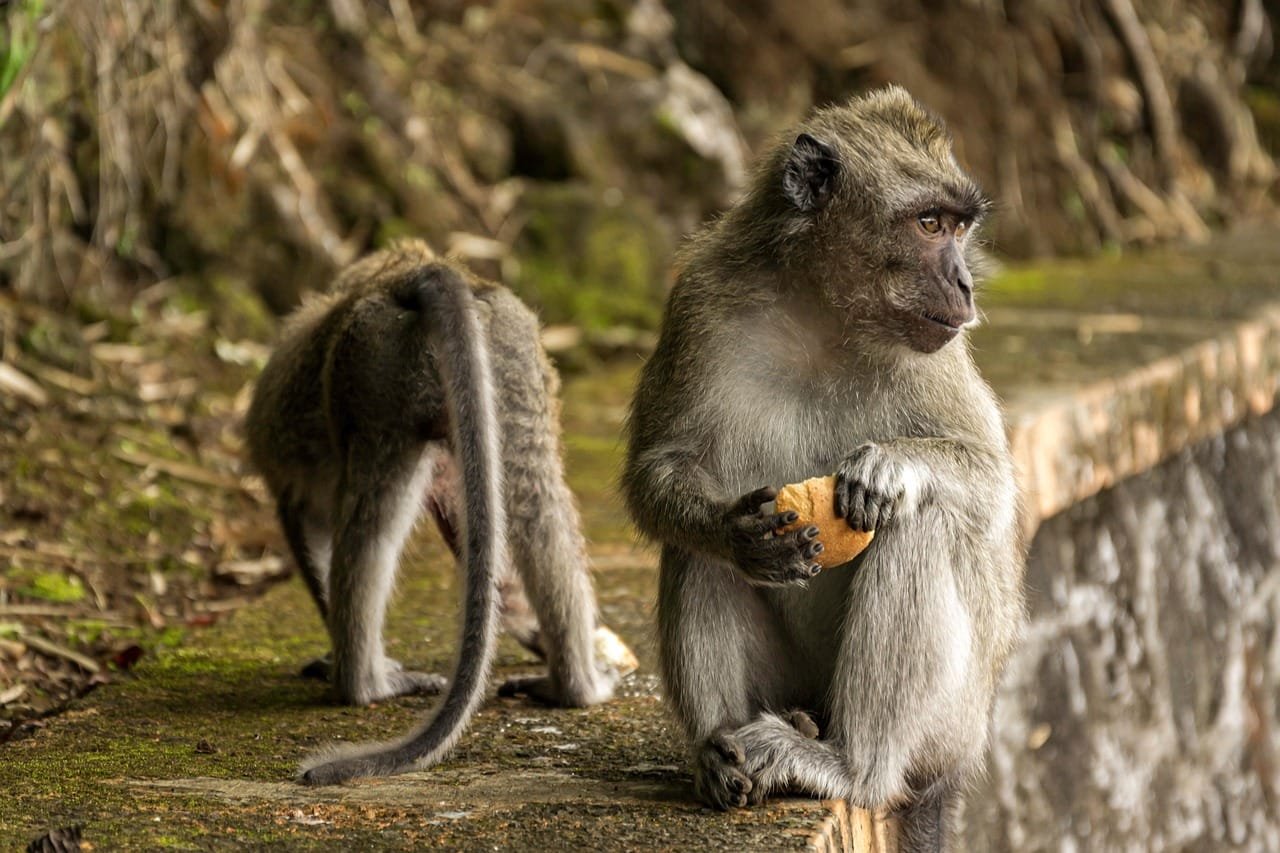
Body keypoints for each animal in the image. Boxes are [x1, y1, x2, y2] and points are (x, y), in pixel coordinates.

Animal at [244, 240, 625, 785]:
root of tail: (419, 273)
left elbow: (307, 526)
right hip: (506, 359)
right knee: (537, 507)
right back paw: (575, 688)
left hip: (375, 372)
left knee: (371, 526)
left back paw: (364, 683)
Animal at [622, 86, 1025, 850]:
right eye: (929, 223)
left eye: (958, 226)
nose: (964, 282)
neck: (822, 315)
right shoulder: (699, 300)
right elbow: (660, 469)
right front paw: (734, 530)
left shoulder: (939, 350)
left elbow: (991, 486)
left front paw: (893, 465)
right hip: (792, 684)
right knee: (694, 553)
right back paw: (720, 755)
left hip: (953, 722)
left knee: (921, 525)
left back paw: (848, 765)